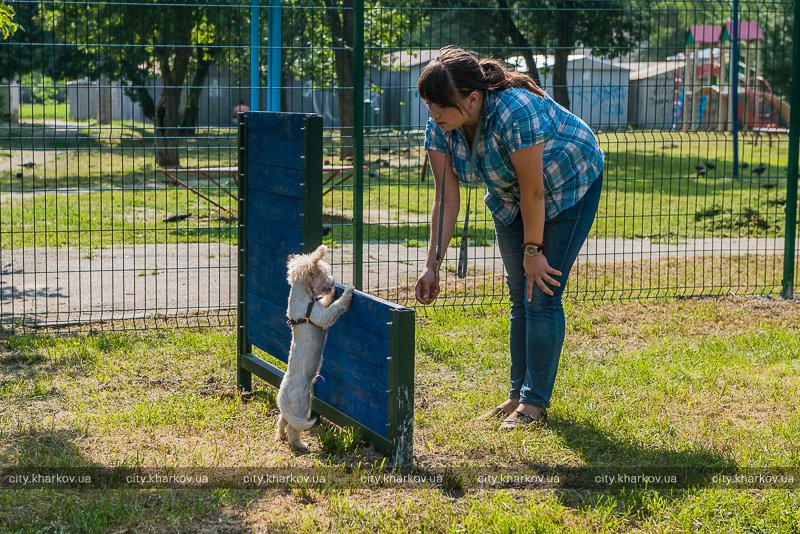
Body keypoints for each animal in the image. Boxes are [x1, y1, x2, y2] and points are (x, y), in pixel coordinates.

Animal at [276, 245, 354, 450]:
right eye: (326, 273)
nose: (333, 283)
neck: (303, 297)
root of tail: (282, 394)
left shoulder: (319, 307)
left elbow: (327, 303)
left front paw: (333, 294)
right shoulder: (319, 316)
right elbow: (333, 309)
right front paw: (346, 293)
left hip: (291, 411)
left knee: (282, 421)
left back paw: (279, 436)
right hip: (302, 405)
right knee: (293, 428)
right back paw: (299, 445)